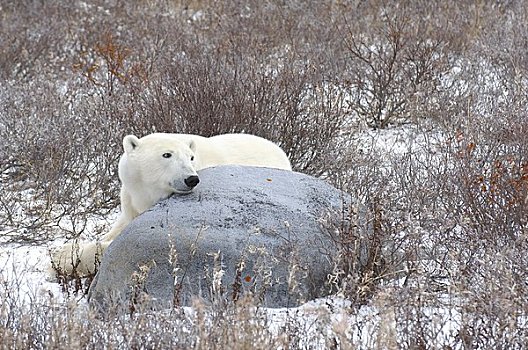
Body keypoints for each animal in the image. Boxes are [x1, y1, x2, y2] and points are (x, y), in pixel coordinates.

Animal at [51, 133, 290, 278]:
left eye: (191, 157)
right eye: (167, 154)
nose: (191, 179)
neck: (148, 193)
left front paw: (65, 257)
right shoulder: (131, 199)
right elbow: (118, 229)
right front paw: (65, 250)